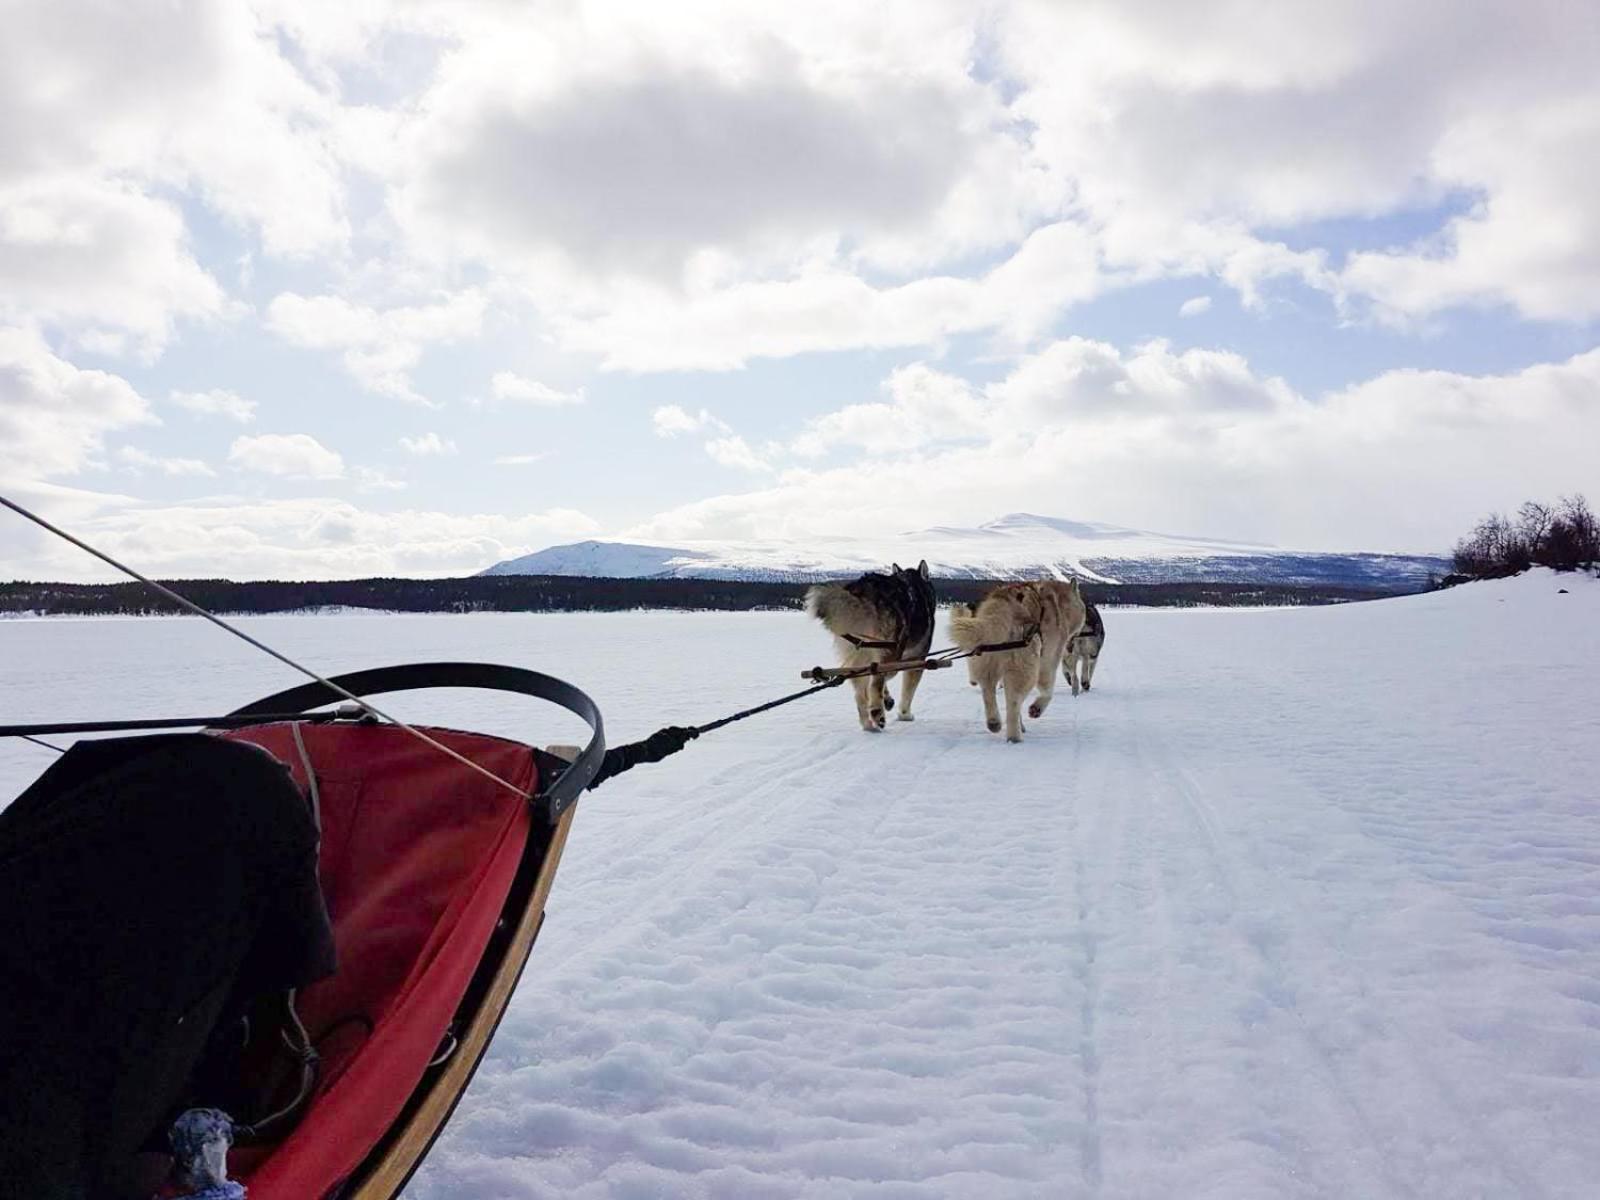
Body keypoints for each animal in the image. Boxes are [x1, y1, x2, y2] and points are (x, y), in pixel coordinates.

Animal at [806, 563, 934, 732]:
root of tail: (863, 588)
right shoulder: (916, 659)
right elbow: (907, 691)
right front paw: (905, 715)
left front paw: (888, 699)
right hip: (889, 650)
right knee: (875, 682)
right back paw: (877, 712)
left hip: (859, 649)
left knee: (860, 690)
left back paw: (868, 723)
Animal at [947, 579, 1088, 742]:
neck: (1060, 603)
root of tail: (1001, 605)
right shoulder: (1048, 660)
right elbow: (1047, 690)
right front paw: (1036, 709)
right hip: (1024, 664)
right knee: (1014, 700)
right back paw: (1014, 736)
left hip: (987, 659)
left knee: (988, 688)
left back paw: (994, 722)